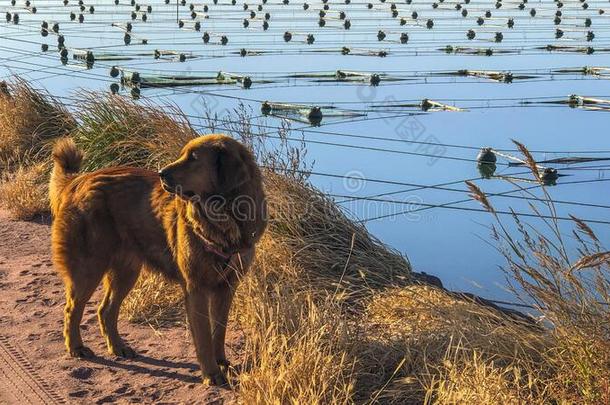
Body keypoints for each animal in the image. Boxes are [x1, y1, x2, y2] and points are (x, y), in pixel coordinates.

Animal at [48, 134, 264, 384]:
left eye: (193, 158)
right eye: (184, 155)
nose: (161, 173)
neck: (224, 219)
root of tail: (79, 181)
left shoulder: (226, 287)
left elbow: (218, 331)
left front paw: (222, 363)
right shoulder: (196, 288)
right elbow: (203, 337)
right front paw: (211, 373)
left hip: (126, 272)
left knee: (106, 310)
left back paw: (118, 347)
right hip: (88, 268)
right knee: (72, 309)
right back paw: (76, 347)